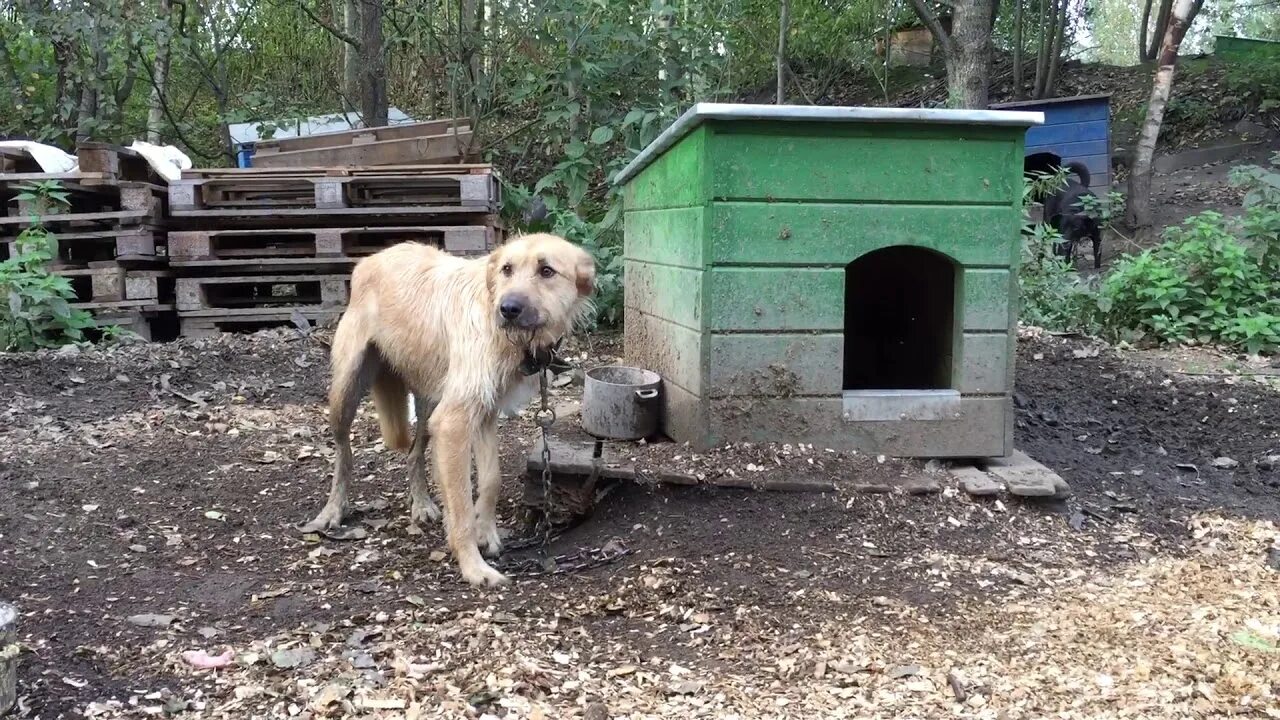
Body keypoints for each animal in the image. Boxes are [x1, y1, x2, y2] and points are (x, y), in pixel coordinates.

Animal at [302, 234, 596, 584]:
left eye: (547, 271)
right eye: (507, 269)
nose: (508, 309)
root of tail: (372, 258)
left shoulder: (483, 413)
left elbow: (491, 479)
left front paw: (487, 533)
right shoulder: (453, 422)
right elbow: (461, 504)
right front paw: (473, 565)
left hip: (429, 406)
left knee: (414, 453)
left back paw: (421, 504)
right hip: (346, 393)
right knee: (344, 453)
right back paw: (332, 511)